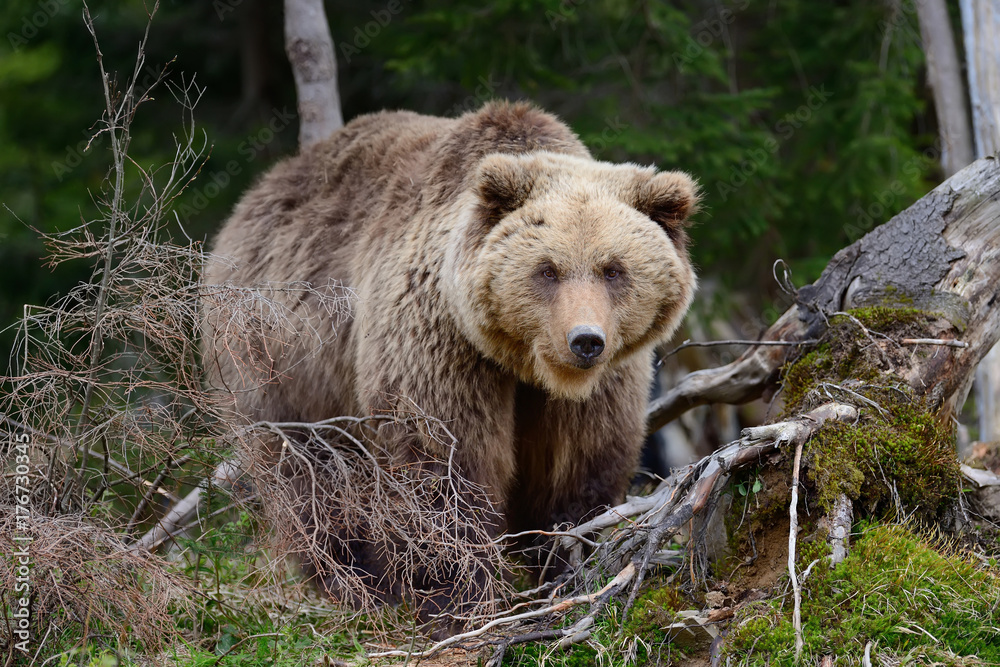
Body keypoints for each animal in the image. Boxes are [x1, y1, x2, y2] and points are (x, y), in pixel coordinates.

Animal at [202, 101, 699, 625]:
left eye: (613, 270)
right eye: (547, 269)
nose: (585, 341)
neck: (523, 364)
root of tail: (254, 197)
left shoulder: (603, 383)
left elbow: (578, 465)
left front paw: (565, 562)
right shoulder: (439, 344)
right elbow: (446, 463)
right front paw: (459, 595)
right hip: (277, 361)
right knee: (310, 474)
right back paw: (356, 581)